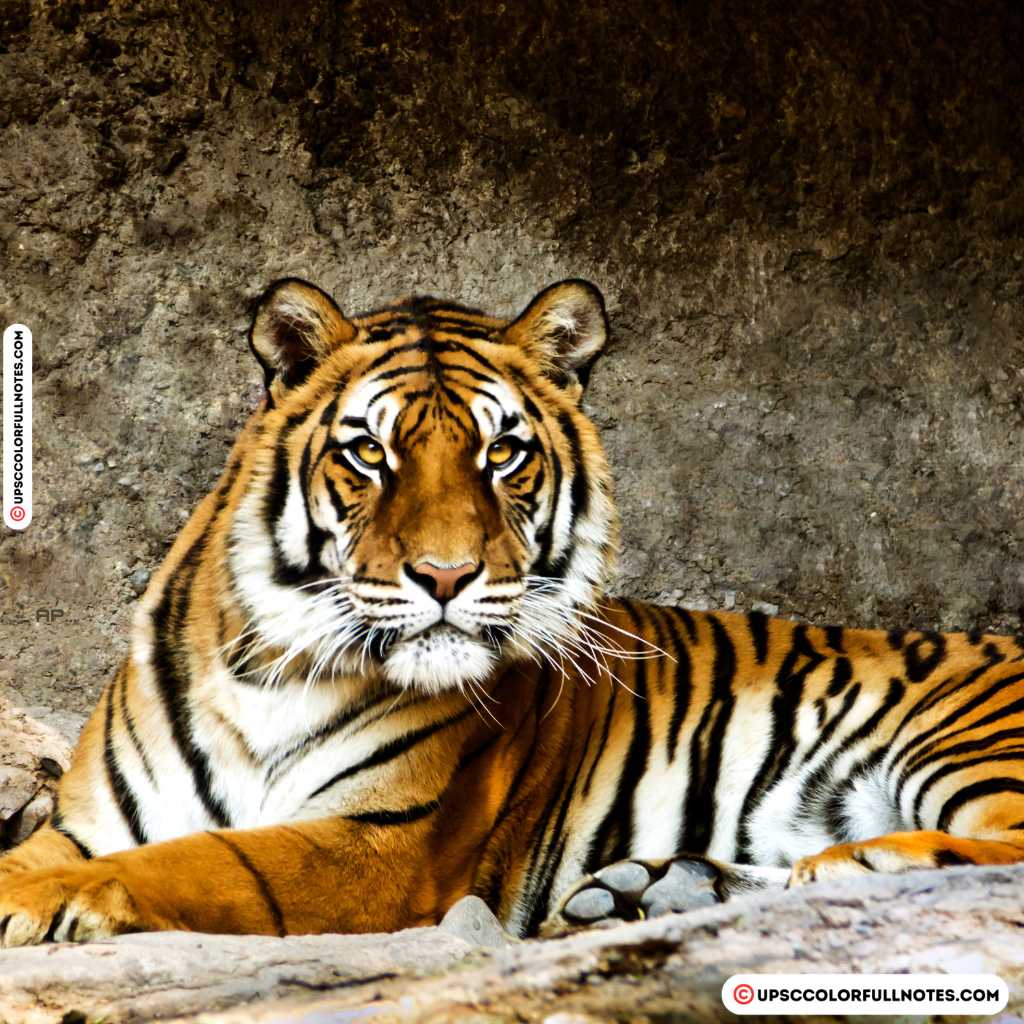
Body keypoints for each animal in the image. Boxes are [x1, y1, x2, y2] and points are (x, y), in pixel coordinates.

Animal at [2, 276, 1024, 948]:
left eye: (502, 454)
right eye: (369, 452)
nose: (446, 576)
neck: (271, 662)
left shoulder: (379, 843)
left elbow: (200, 860)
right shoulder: (85, 822)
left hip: (966, 739)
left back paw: (851, 864)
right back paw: (660, 889)